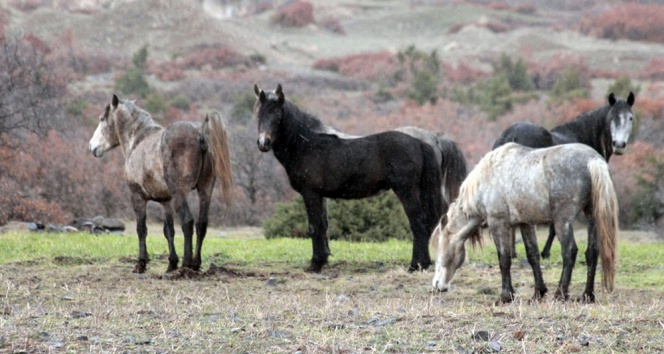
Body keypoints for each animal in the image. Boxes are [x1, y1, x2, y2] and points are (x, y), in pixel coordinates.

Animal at [88, 94, 233, 274]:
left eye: (102, 119)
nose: (92, 146)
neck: (138, 141)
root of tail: (200, 134)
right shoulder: (166, 201)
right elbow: (169, 230)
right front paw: (171, 263)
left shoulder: (137, 197)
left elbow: (141, 229)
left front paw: (141, 263)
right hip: (205, 190)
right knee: (201, 224)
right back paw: (195, 263)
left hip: (181, 194)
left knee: (187, 222)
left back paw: (186, 264)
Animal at [254, 83, 446, 272]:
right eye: (258, 114)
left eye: (277, 116)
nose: (263, 143)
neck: (306, 145)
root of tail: (419, 143)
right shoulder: (320, 196)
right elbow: (323, 226)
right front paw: (322, 260)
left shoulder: (311, 194)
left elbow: (314, 226)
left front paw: (315, 264)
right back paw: (423, 263)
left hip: (406, 191)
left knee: (418, 222)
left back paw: (415, 265)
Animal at [434, 142, 620, 302]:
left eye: (439, 251)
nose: (436, 286)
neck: (485, 180)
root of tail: (593, 160)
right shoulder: (526, 224)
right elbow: (533, 256)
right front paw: (538, 292)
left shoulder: (498, 224)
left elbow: (504, 259)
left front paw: (506, 296)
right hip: (592, 218)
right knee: (592, 253)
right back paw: (587, 295)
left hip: (563, 221)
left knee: (569, 252)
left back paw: (560, 294)